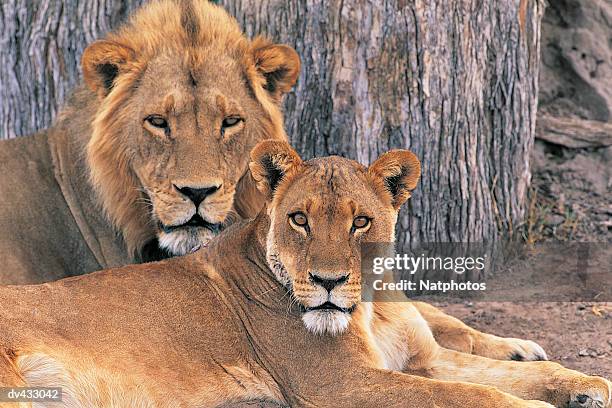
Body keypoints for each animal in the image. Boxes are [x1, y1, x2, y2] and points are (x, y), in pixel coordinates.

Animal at [0, 141, 608, 408]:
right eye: (299, 219)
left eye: (361, 221)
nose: (329, 281)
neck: (371, 306)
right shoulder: (338, 385)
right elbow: (474, 396)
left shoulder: (423, 360)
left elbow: (507, 376)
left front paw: (587, 386)